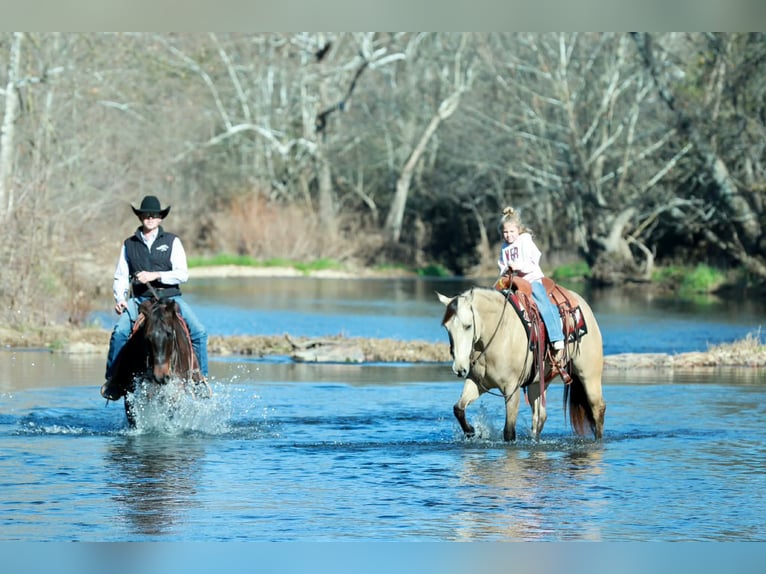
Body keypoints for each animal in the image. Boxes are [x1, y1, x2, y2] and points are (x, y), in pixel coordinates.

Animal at [108, 298, 211, 426]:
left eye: (170, 334)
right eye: (147, 337)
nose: (161, 376)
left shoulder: (176, 388)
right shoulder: (131, 390)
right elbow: (133, 414)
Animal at [437, 285, 606, 441]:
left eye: (468, 326)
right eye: (447, 327)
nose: (459, 369)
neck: (498, 334)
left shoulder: (512, 389)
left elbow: (509, 432)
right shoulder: (476, 382)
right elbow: (458, 408)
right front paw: (471, 431)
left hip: (589, 375)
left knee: (597, 407)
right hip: (538, 383)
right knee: (539, 417)